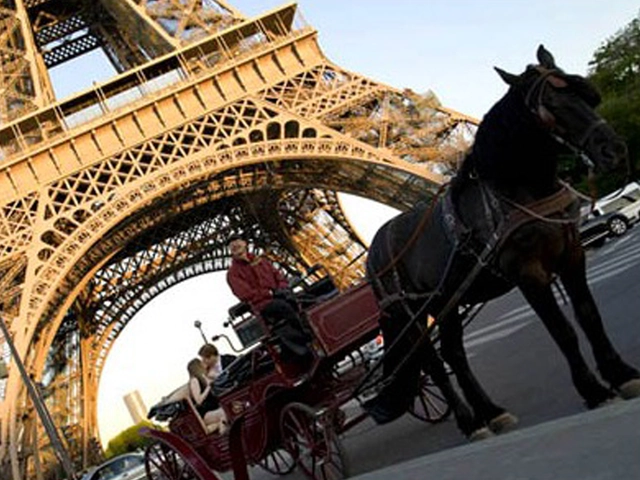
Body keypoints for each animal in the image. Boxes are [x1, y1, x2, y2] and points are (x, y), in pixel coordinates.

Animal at [364, 45, 640, 439]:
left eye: (587, 95)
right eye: (551, 105)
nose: (614, 150)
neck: (522, 187)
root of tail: (372, 252)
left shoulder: (572, 254)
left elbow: (589, 315)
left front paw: (622, 374)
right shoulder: (527, 272)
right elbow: (563, 330)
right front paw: (593, 390)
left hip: (446, 301)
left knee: (453, 352)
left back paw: (491, 414)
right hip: (409, 313)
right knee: (433, 364)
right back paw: (469, 422)